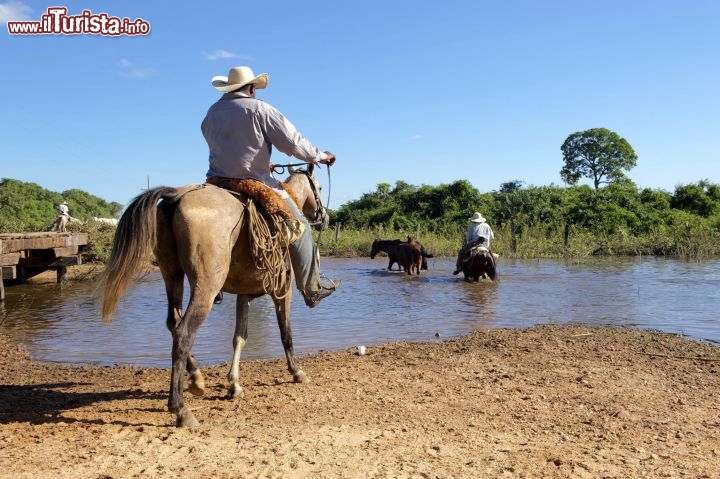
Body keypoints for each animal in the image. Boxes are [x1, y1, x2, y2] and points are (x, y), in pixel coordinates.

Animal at [99, 165, 330, 428]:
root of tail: (175, 196)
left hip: (171, 274)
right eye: (319, 187)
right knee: (183, 333)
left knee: (173, 322)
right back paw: (181, 410)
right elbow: (286, 333)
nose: (324, 219)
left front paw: (234, 385)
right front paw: (297, 372)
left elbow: (239, 337)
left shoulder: (244, 295)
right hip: (206, 287)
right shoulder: (283, 292)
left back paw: (197, 379)